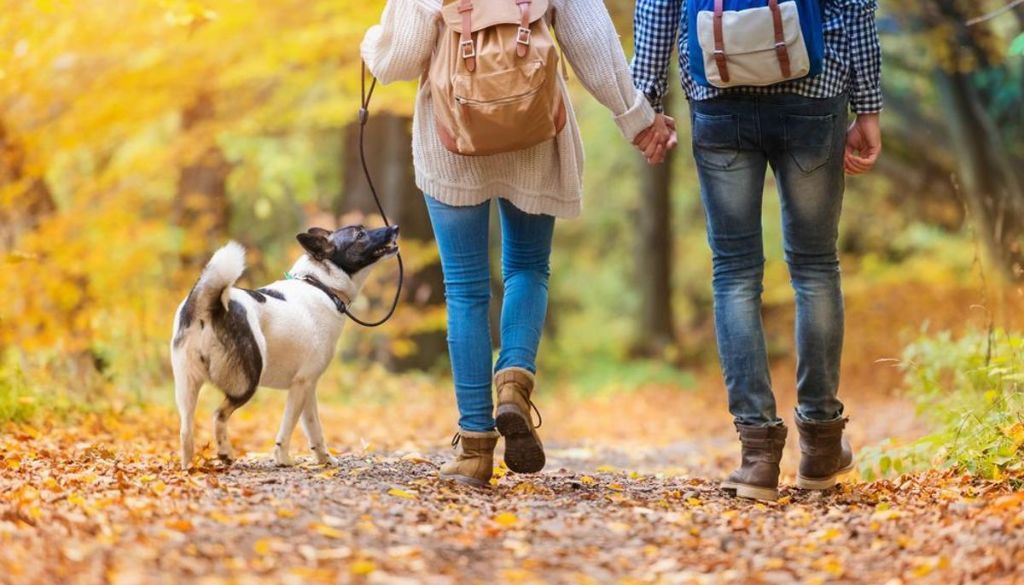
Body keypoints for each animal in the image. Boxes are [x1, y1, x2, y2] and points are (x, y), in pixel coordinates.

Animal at [169, 224, 397, 471]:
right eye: (359, 234)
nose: (394, 228)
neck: (321, 285)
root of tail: (208, 304)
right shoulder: (301, 385)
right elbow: (287, 428)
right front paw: (283, 459)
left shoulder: (308, 387)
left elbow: (314, 428)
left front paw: (324, 459)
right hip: (246, 383)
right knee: (218, 414)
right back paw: (225, 453)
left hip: (187, 386)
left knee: (185, 430)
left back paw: (188, 468)